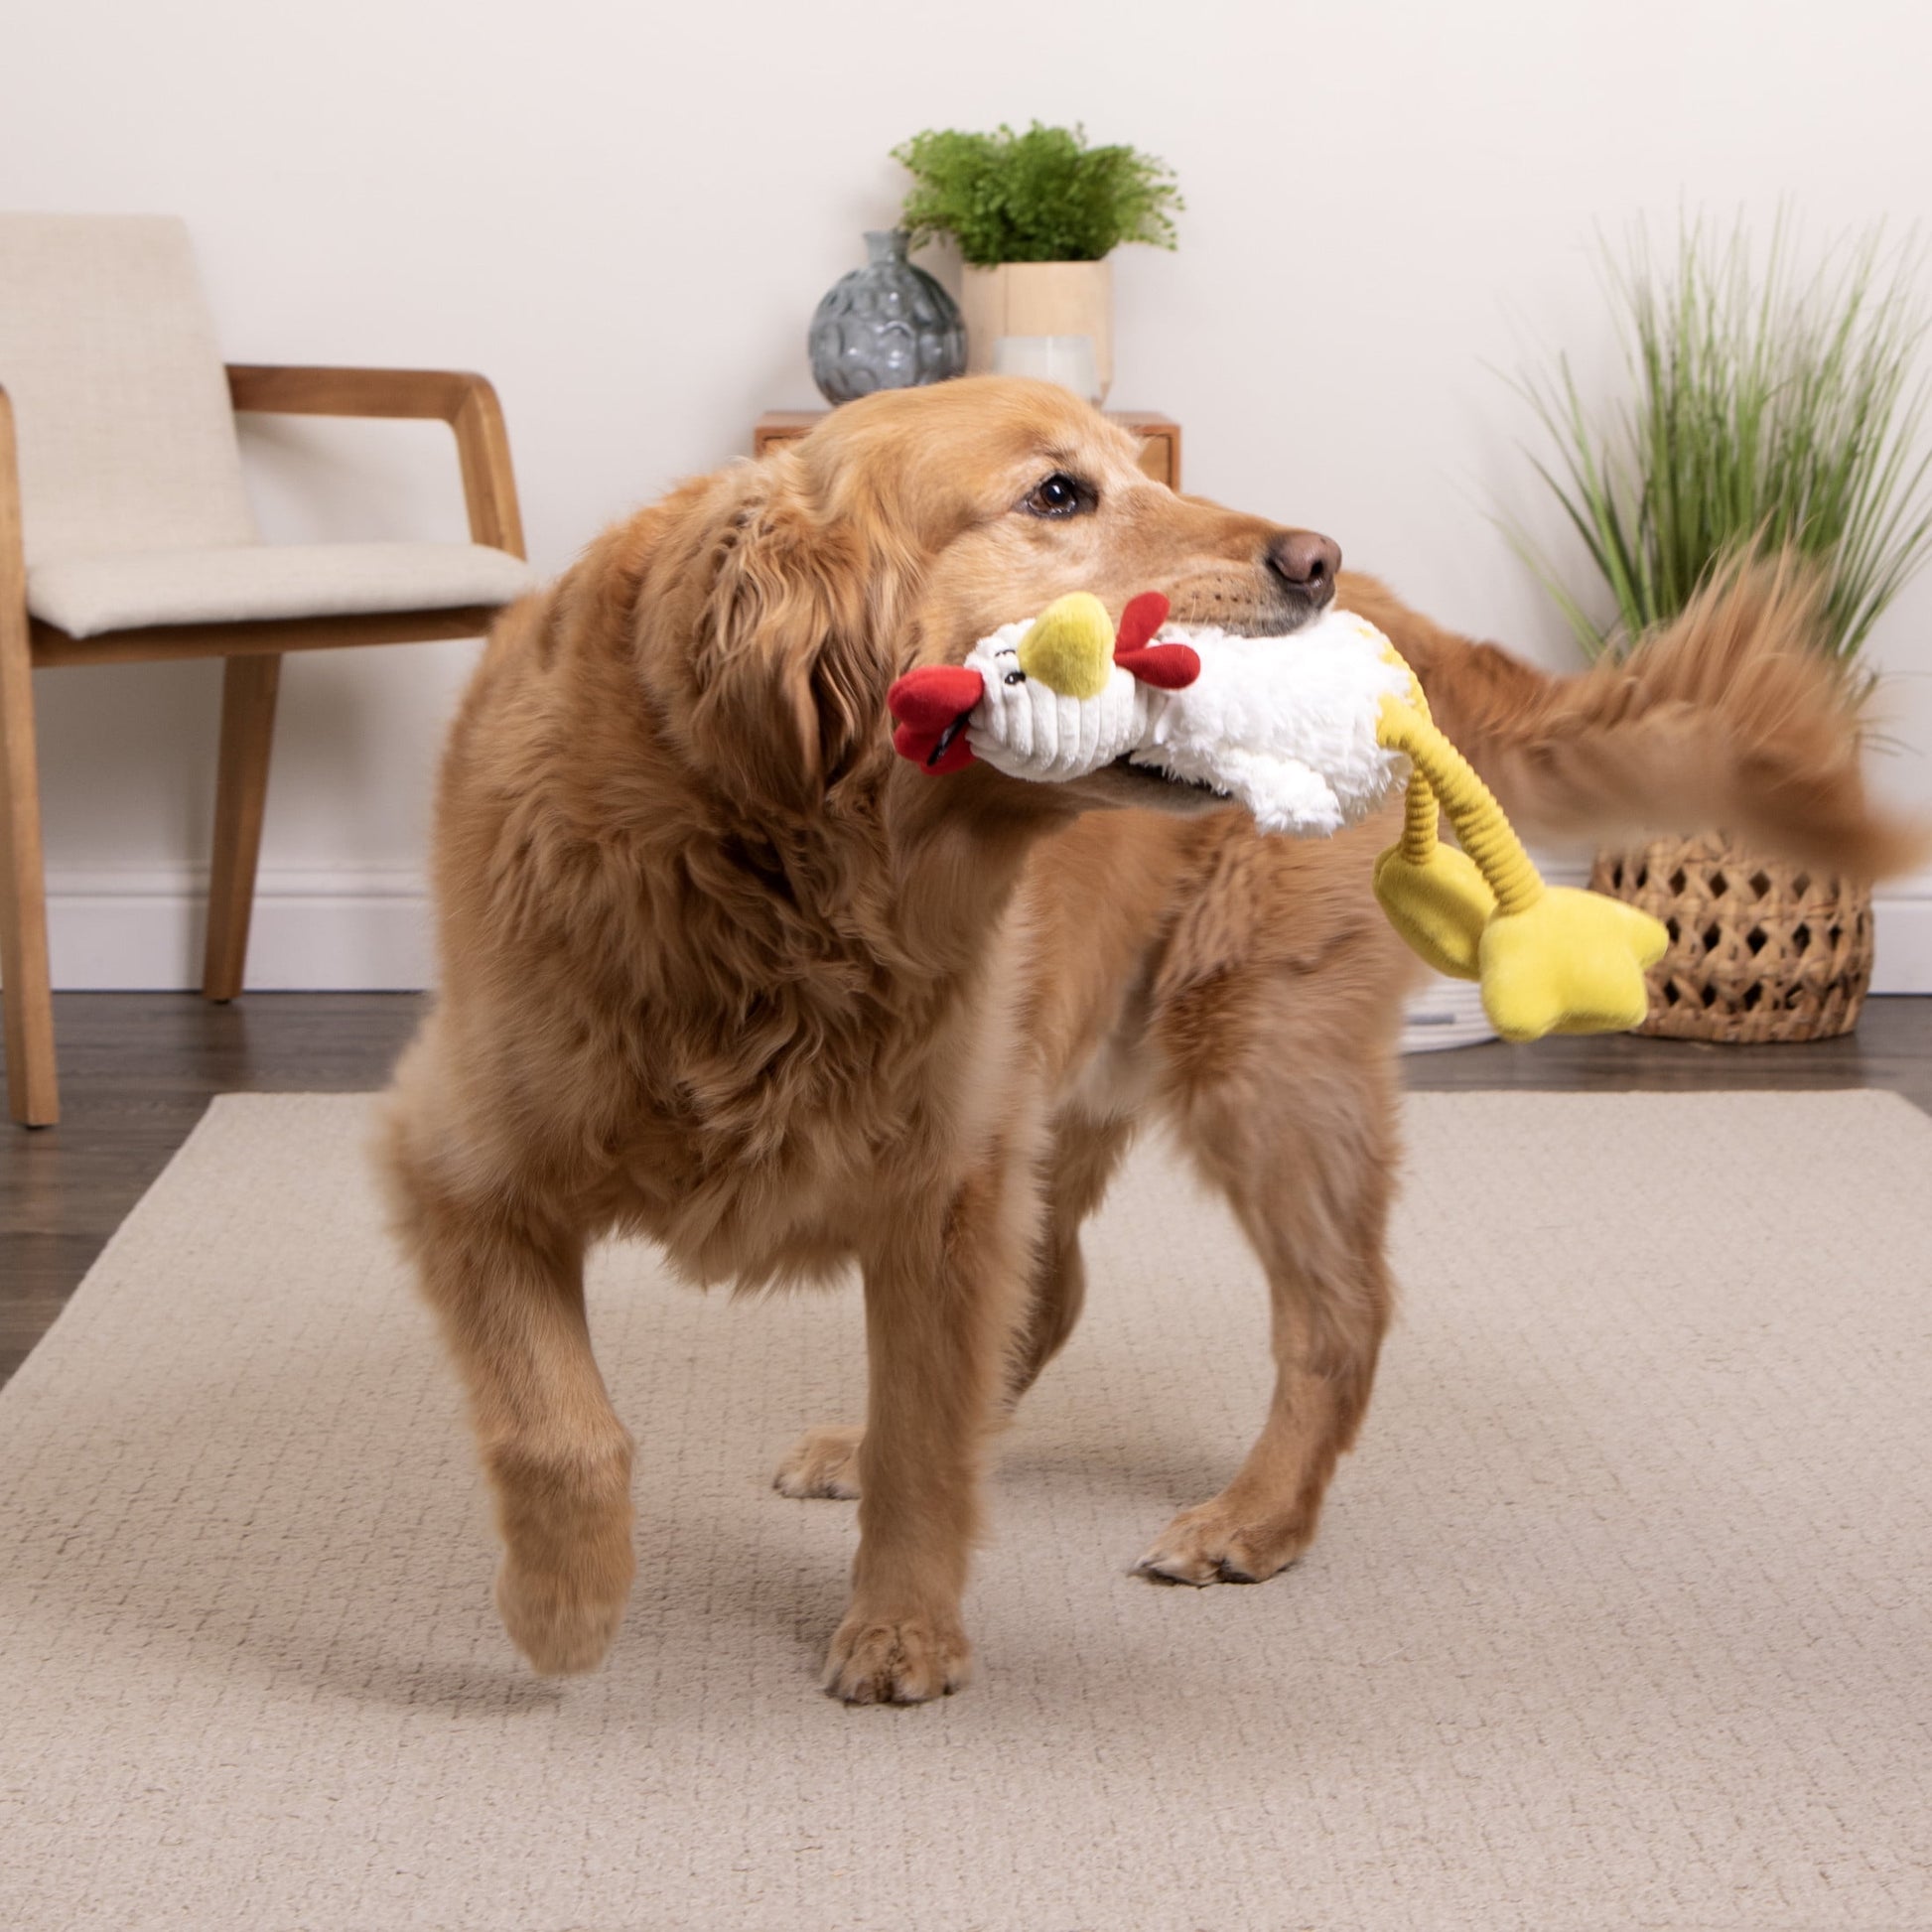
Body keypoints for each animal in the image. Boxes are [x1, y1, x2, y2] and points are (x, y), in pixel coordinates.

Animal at [380, 376, 1916, 1708]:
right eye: (1057, 491)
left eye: (1137, 468)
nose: (1312, 558)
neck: (779, 868)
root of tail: (1400, 622)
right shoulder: (456, 1163)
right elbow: (556, 1419)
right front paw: (566, 1602)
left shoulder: (944, 1184)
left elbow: (927, 1441)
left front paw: (898, 1628)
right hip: (1080, 1080)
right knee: (1054, 1294)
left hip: (1258, 1061)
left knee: (1335, 1312)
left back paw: (1254, 1516)